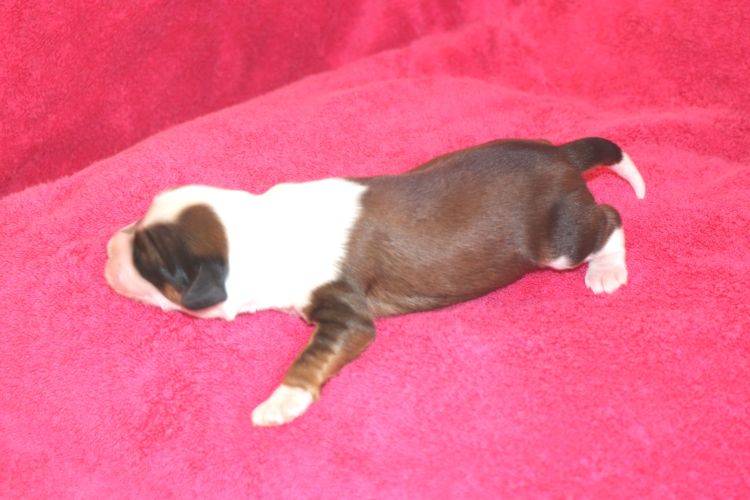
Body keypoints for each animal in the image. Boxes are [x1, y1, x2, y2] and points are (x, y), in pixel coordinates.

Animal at [105, 137, 645, 426]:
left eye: (150, 262)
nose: (108, 249)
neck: (261, 226)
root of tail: (561, 154)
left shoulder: (346, 317)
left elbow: (312, 357)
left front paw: (281, 403)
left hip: (559, 243)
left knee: (610, 217)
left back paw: (607, 270)